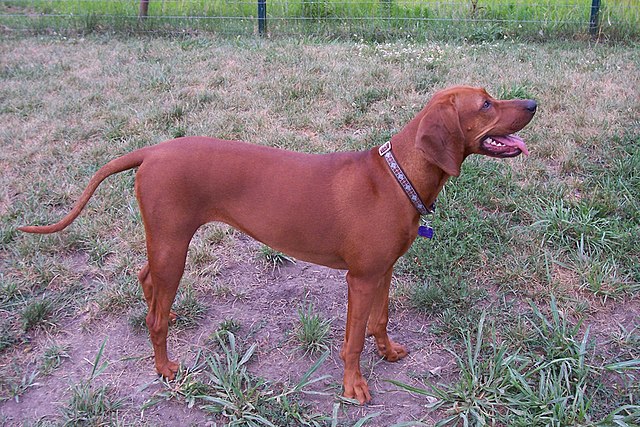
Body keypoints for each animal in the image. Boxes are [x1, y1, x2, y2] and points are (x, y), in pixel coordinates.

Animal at [18, 86, 536, 404]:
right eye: (486, 104)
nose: (532, 102)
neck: (397, 176)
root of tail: (152, 151)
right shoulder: (360, 278)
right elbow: (351, 339)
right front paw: (353, 386)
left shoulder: (383, 270)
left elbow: (380, 320)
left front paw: (387, 351)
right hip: (173, 247)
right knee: (156, 315)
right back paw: (165, 366)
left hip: (164, 244)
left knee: (146, 281)